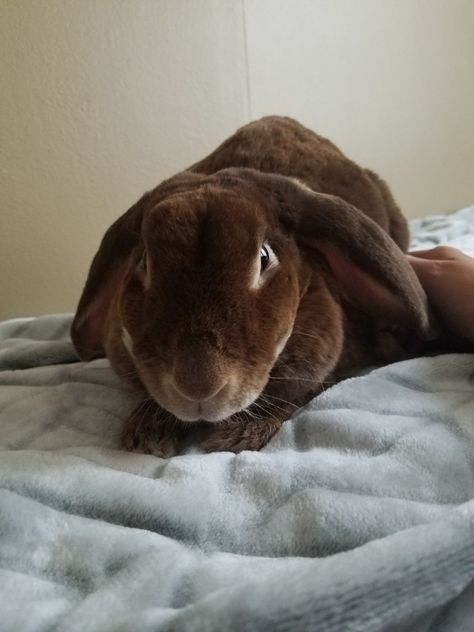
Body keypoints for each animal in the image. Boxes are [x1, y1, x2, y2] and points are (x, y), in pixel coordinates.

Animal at [70, 117, 436, 454]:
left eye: (264, 257)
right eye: (144, 262)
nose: (198, 388)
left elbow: (293, 395)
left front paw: (238, 434)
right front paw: (147, 434)